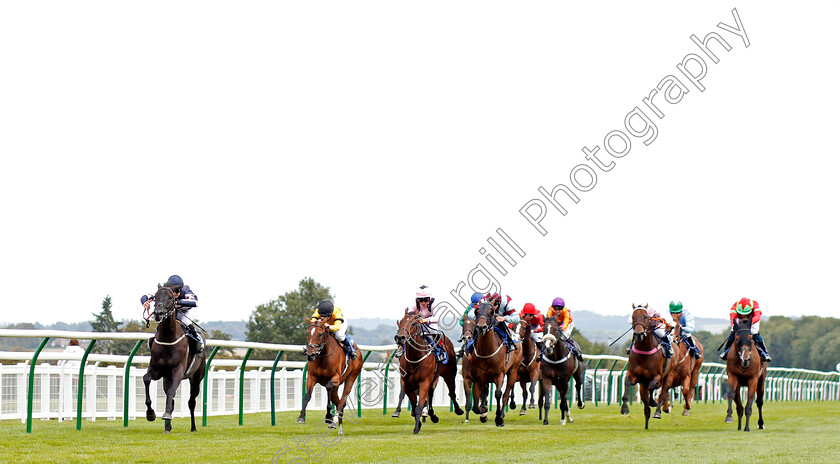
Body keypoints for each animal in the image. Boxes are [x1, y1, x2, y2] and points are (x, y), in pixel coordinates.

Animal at [143, 284, 205, 434]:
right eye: (155, 296)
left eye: (171, 297)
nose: (158, 313)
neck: (168, 338)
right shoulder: (156, 370)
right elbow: (146, 379)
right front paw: (150, 413)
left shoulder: (178, 370)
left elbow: (172, 392)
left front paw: (166, 414)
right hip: (167, 378)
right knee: (170, 398)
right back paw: (167, 427)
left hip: (197, 378)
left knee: (191, 401)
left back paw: (193, 427)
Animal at [470, 300, 520, 428]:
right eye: (476, 311)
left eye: (491, 311)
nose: (481, 327)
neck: (487, 351)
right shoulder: (478, 378)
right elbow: (475, 406)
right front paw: (483, 412)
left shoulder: (499, 374)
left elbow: (498, 393)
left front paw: (499, 418)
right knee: (485, 391)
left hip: (513, 371)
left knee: (506, 394)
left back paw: (501, 415)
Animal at [620, 302, 680, 430]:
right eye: (633, 317)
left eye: (646, 317)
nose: (639, 334)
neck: (644, 351)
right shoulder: (634, 375)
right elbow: (627, 383)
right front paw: (624, 408)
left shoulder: (657, 376)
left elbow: (653, 387)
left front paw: (653, 402)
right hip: (642, 384)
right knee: (646, 406)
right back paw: (647, 423)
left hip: (669, 376)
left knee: (662, 394)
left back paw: (657, 412)